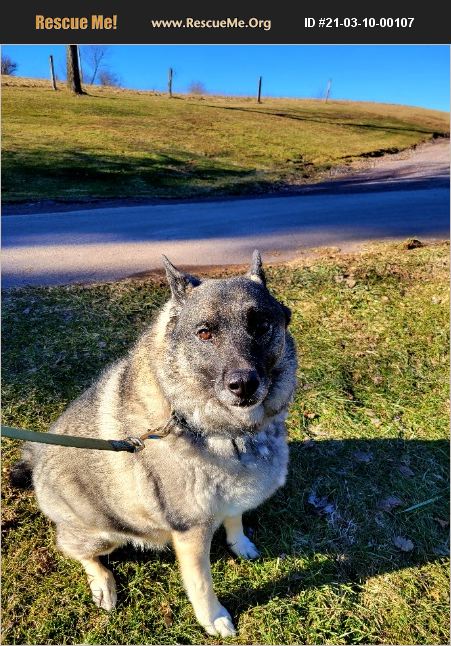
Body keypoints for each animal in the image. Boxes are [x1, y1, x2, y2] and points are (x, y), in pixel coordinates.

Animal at [10, 251, 298, 640]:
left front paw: (240, 543)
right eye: (204, 332)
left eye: (260, 325)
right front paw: (214, 618)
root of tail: (36, 459)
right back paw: (103, 583)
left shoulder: (231, 497)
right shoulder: (191, 533)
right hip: (102, 534)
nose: (243, 385)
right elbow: (201, 584)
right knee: (76, 551)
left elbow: (234, 518)